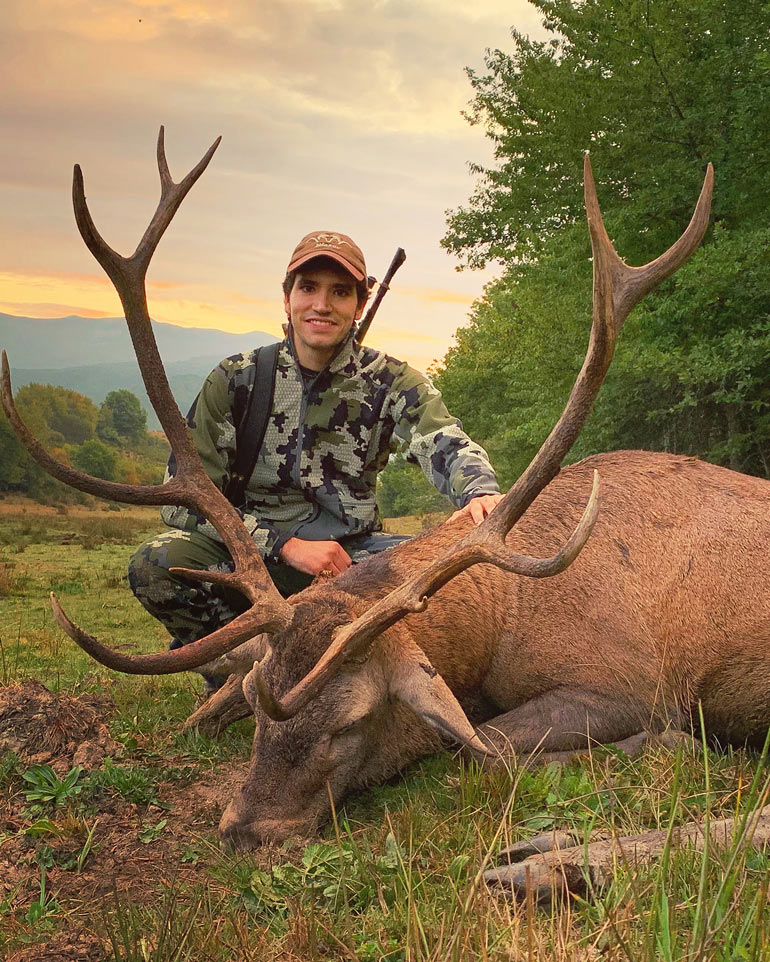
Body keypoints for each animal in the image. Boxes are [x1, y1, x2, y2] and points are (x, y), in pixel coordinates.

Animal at [6, 130, 767, 859]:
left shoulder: (629, 683)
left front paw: (671, 747)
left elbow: (485, 754)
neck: (509, 619)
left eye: (352, 722)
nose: (250, 830)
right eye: (255, 696)